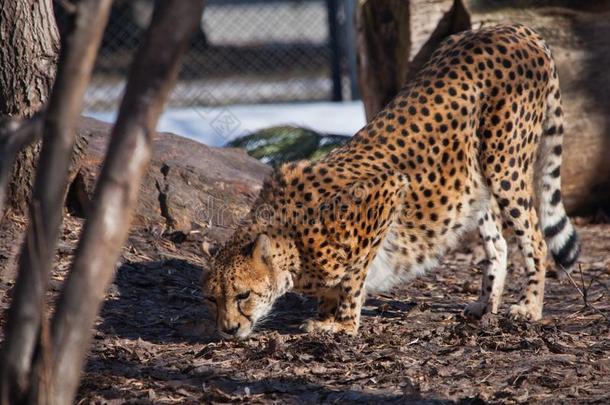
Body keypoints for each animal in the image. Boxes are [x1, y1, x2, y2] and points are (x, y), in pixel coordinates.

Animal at [202, 24, 576, 338]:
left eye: (243, 295)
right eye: (211, 299)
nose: (228, 330)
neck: (291, 241)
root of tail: (512, 27)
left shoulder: (386, 192)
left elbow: (353, 279)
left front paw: (342, 324)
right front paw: (325, 314)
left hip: (505, 166)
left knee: (536, 241)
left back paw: (529, 307)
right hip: (472, 180)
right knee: (498, 245)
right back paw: (485, 305)